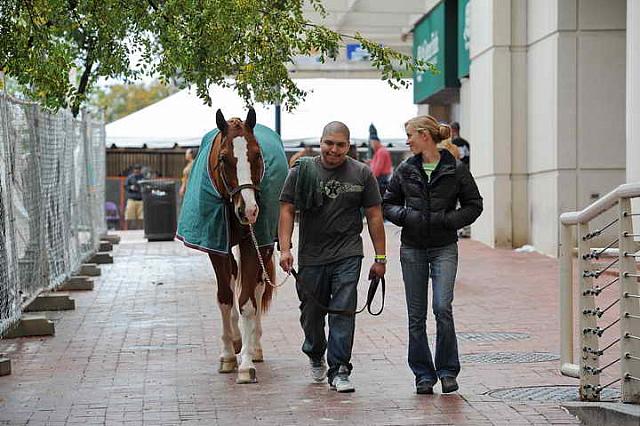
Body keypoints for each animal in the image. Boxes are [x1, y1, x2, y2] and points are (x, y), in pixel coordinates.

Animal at [174, 106, 286, 382]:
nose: (250, 210)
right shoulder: (215, 246)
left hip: (264, 246)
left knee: (257, 287)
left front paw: (245, 363)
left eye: (257, 154)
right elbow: (225, 297)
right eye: (224, 159)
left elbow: (247, 302)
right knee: (235, 276)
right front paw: (228, 353)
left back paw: (254, 346)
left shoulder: (253, 243)